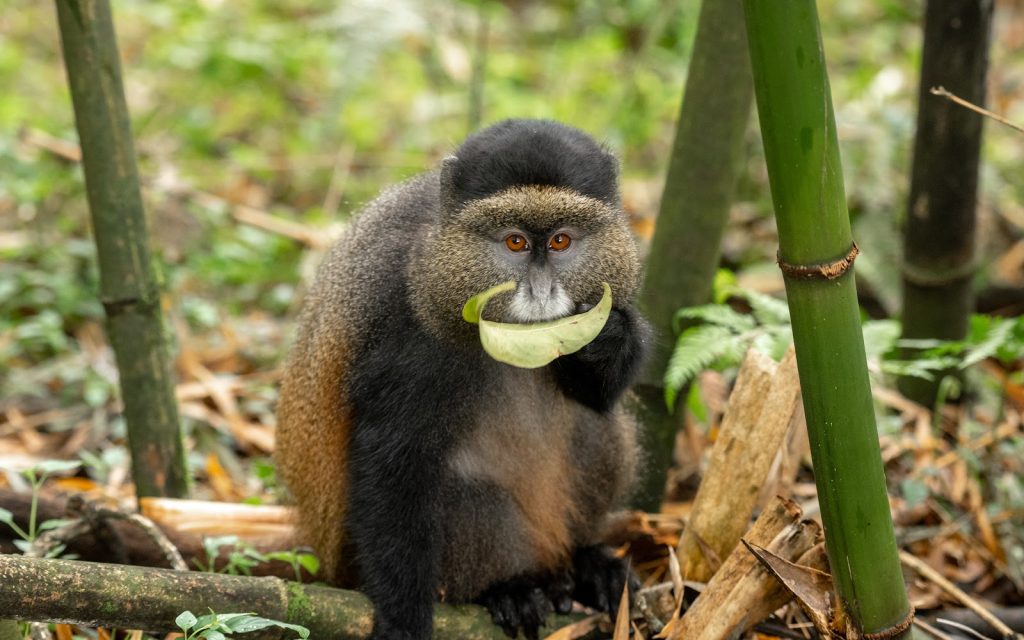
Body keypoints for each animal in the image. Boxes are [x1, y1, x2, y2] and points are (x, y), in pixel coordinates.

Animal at [275, 119, 650, 639]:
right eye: (514, 242)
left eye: (560, 241)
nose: (541, 292)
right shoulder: (405, 320)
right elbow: (392, 458)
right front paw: (403, 617)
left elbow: (596, 396)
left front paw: (611, 337)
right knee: (458, 490)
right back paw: (509, 587)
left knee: (599, 428)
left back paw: (582, 562)